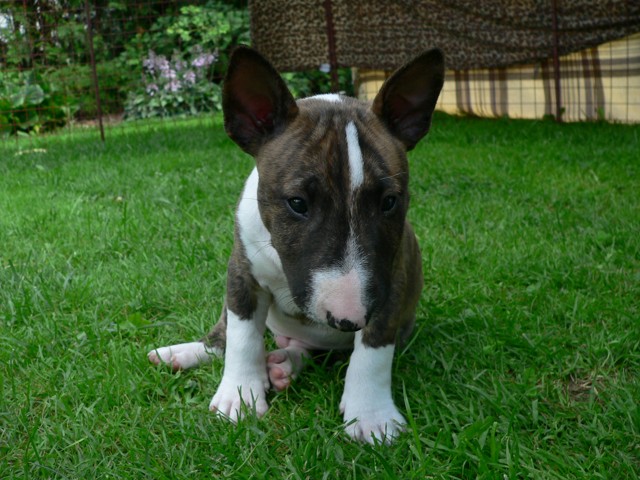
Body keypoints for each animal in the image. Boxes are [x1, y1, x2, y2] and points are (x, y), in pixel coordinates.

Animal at [148, 45, 444, 444]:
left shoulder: (391, 278)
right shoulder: (241, 272)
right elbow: (242, 335)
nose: (348, 319)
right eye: (297, 203)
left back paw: (283, 365)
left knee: (309, 353)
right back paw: (188, 354)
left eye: (389, 202)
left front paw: (371, 415)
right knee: (225, 334)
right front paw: (239, 395)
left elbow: (374, 349)